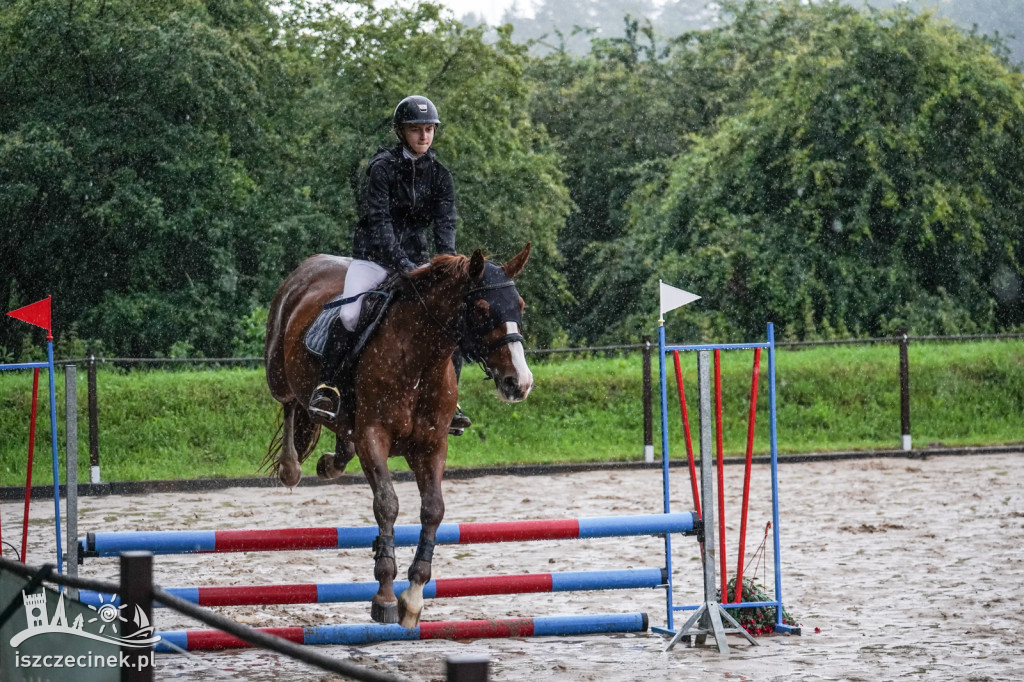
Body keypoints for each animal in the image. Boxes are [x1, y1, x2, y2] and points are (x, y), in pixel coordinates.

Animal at [262, 241, 536, 622]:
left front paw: (414, 595)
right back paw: (292, 465)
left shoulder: (431, 445)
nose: (519, 383)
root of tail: (309, 265)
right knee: (290, 404)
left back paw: (331, 462)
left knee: (338, 435)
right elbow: (387, 505)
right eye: (482, 309)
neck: (421, 360)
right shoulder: (373, 436)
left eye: (520, 306)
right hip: (278, 370)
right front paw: (386, 593)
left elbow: (433, 509)